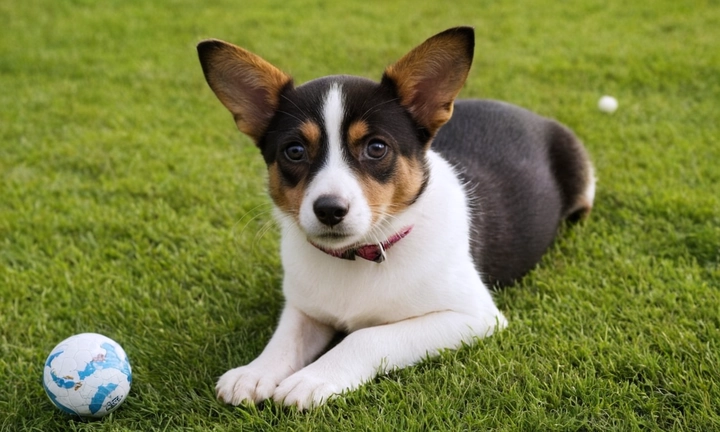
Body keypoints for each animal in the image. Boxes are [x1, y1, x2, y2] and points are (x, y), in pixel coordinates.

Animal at [194, 25, 592, 410]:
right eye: (294, 151)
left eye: (376, 148)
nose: (329, 209)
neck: (359, 256)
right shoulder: (304, 306)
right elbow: (285, 338)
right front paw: (254, 372)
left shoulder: (471, 317)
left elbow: (366, 336)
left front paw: (313, 378)